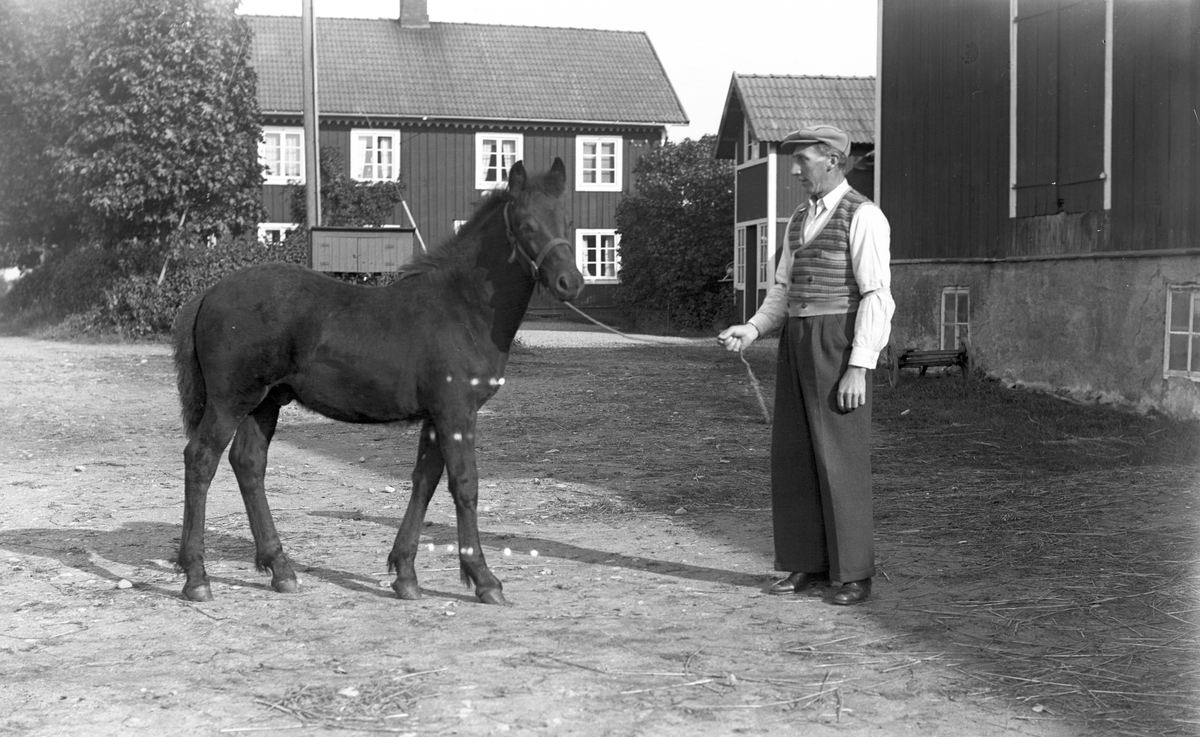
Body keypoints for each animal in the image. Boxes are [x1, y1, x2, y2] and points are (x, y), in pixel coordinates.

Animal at [170, 158, 583, 606]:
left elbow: (425, 482)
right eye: (525, 224)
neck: (462, 307)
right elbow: (465, 485)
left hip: (264, 403)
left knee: (248, 464)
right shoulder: (457, 412)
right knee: (200, 460)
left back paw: (280, 569)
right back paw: (197, 577)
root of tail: (209, 294)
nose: (571, 282)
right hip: (230, 401)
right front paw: (484, 580)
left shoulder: (436, 417)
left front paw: (405, 574)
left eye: (565, 219)